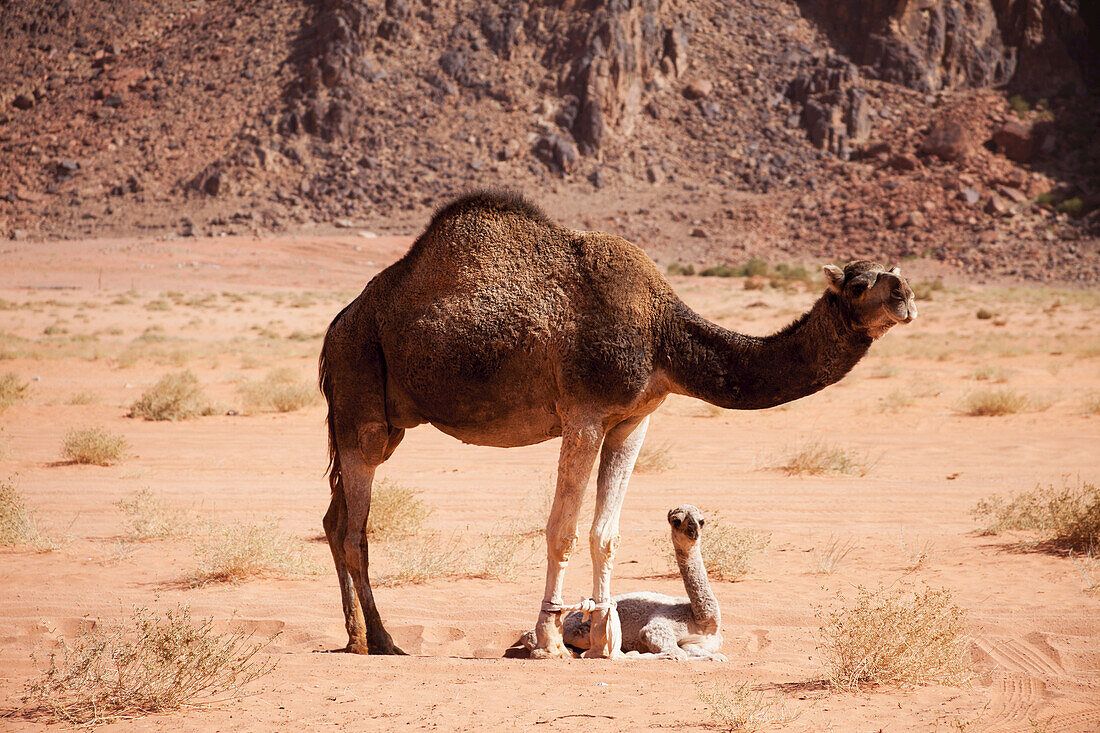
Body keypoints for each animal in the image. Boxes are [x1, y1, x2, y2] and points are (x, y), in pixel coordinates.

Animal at [521, 506, 726, 660]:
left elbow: (705, 653)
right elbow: (675, 651)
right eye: (676, 520)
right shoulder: (660, 626)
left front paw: (712, 657)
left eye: (701, 521)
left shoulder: (708, 642)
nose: (693, 531)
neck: (702, 622)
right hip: (581, 631)